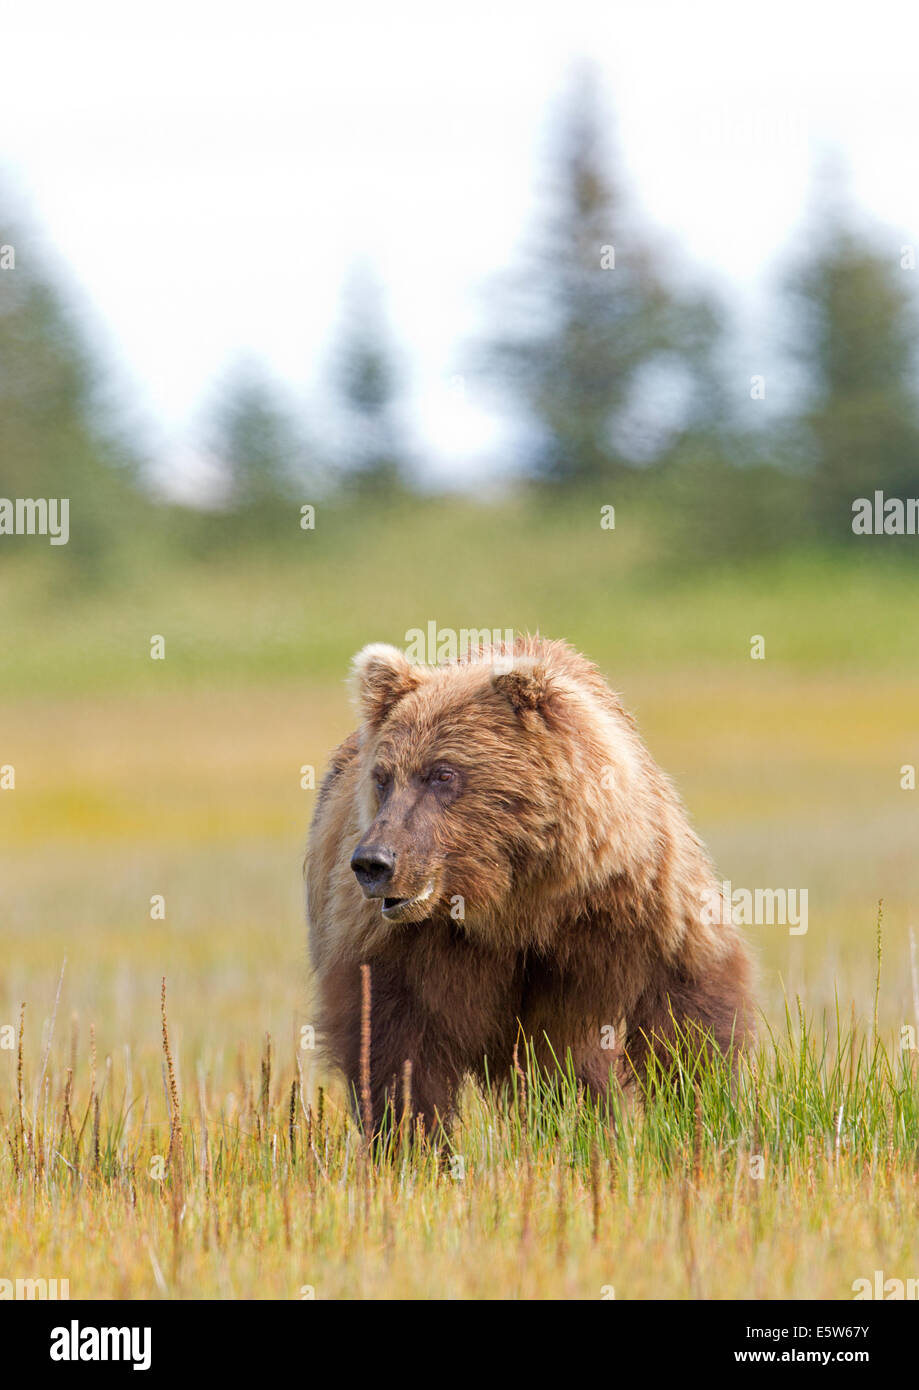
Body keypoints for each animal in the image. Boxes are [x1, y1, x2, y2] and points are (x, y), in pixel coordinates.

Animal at [305, 636, 753, 1134]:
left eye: (442, 773)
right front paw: (411, 1138)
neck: (516, 899)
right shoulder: (403, 947)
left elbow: (687, 1009)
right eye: (383, 778)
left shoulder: (632, 895)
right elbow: (394, 1047)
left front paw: (703, 1111)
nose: (373, 861)